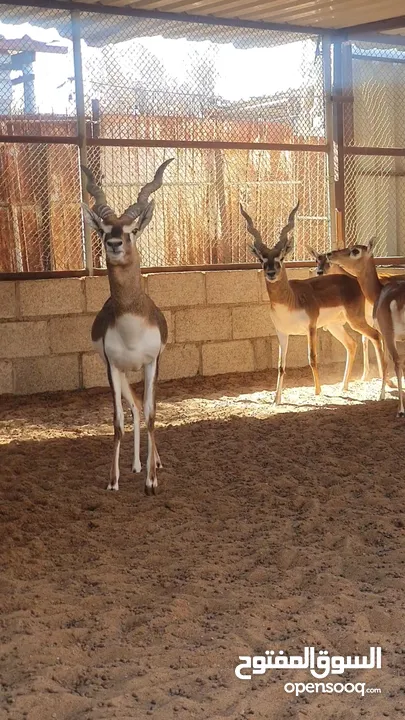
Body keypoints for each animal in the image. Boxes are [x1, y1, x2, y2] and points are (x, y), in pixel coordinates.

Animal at [80, 158, 172, 496]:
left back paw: (152, 463)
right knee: (132, 407)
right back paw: (134, 465)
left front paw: (152, 481)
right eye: (105, 229)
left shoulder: (152, 364)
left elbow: (152, 415)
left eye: (132, 230)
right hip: (121, 374)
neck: (132, 329)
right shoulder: (112, 368)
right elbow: (118, 422)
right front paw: (113, 479)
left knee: (144, 409)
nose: (114, 244)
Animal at [240, 202, 386, 404]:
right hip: (334, 326)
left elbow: (312, 358)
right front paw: (276, 399)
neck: (290, 300)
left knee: (375, 336)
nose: (271, 273)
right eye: (262, 259)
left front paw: (317, 391)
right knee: (352, 344)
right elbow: (280, 365)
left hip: (355, 320)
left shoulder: (311, 327)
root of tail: (353, 280)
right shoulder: (282, 333)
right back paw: (344, 386)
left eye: (281, 258)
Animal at [326, 243, 405, 416]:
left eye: (355, 251)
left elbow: (385, 361)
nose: (330, 254)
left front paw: (381, 395)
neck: (378, 292)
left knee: (397, 361)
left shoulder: (385, 334)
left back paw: (400, 409)